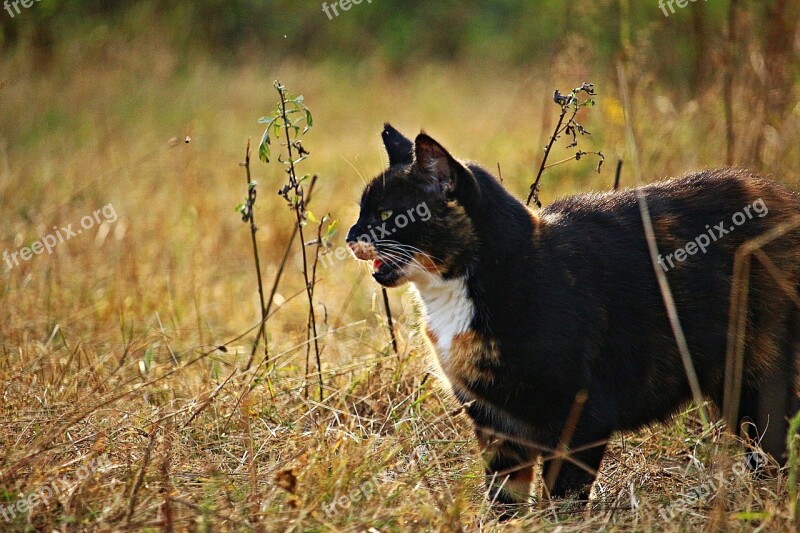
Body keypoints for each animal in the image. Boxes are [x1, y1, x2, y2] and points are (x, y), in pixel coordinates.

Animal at [346, 123, 800, 516]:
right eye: (362, 211)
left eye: (386, 216)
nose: (351, 237)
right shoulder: (495, 421)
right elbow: (504, 494)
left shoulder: (582, 412)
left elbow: (562, 493)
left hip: (760, 379)